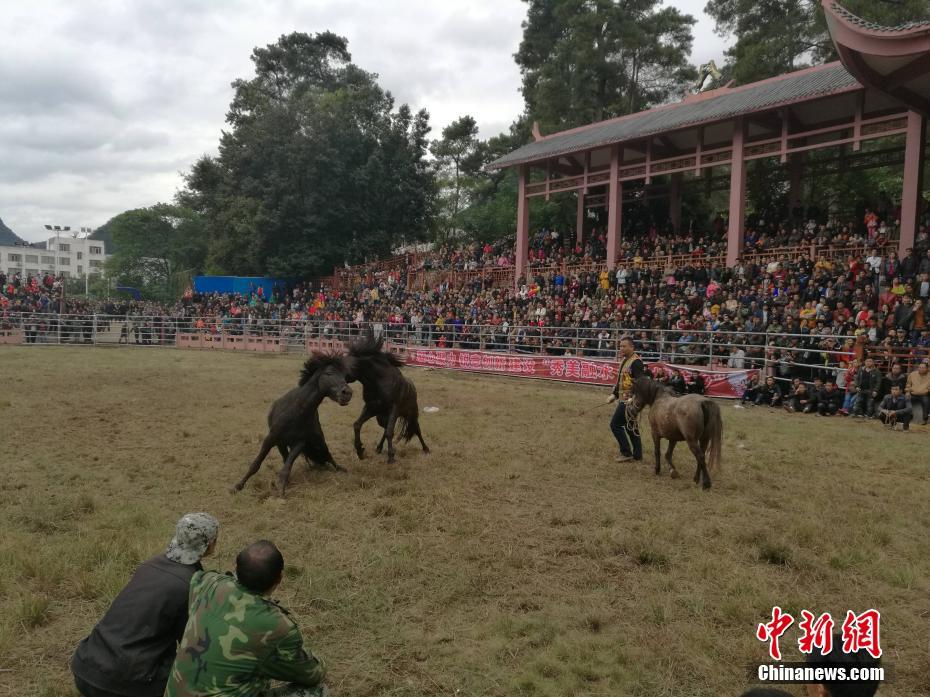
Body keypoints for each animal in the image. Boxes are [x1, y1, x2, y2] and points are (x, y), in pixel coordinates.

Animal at [230, 354, 354, 494]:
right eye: (329, 373)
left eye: (345, 377)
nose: (347, 393)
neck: (296, 411)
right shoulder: (271, 438)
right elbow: (256, 464)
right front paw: (238, 486)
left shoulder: (299, 443)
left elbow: (287, 467)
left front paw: (280, 490)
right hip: (282, 444)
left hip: (319, 442)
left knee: (328, 456)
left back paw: (340, 469)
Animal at [346, 330, 430, 462]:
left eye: (352, 362)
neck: (378, 383)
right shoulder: (371, 408)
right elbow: (357, 425)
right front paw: (360, 450)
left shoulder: (393, 409)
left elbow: (390, 432)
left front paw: (391, 456)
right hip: (381, 418)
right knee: (385, 430)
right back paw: (379, 448)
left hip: (411, 414)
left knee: (416, 429)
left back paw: (426, 449)